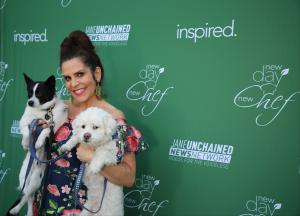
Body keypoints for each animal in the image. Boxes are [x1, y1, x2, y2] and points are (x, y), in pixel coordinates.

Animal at [8, 73, 68, 215]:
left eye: (40, 93)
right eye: (30, 93)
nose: (30, 102)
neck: (42, 111)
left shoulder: (52, 126)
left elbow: (45, 130)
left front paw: (39, 142)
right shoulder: (25, 121)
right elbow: (26, 131)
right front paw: (26, 143)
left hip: (36, 180)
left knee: (27, 196)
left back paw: (17, 210)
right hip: (24, 178)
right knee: (28, 197)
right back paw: (22, 210)